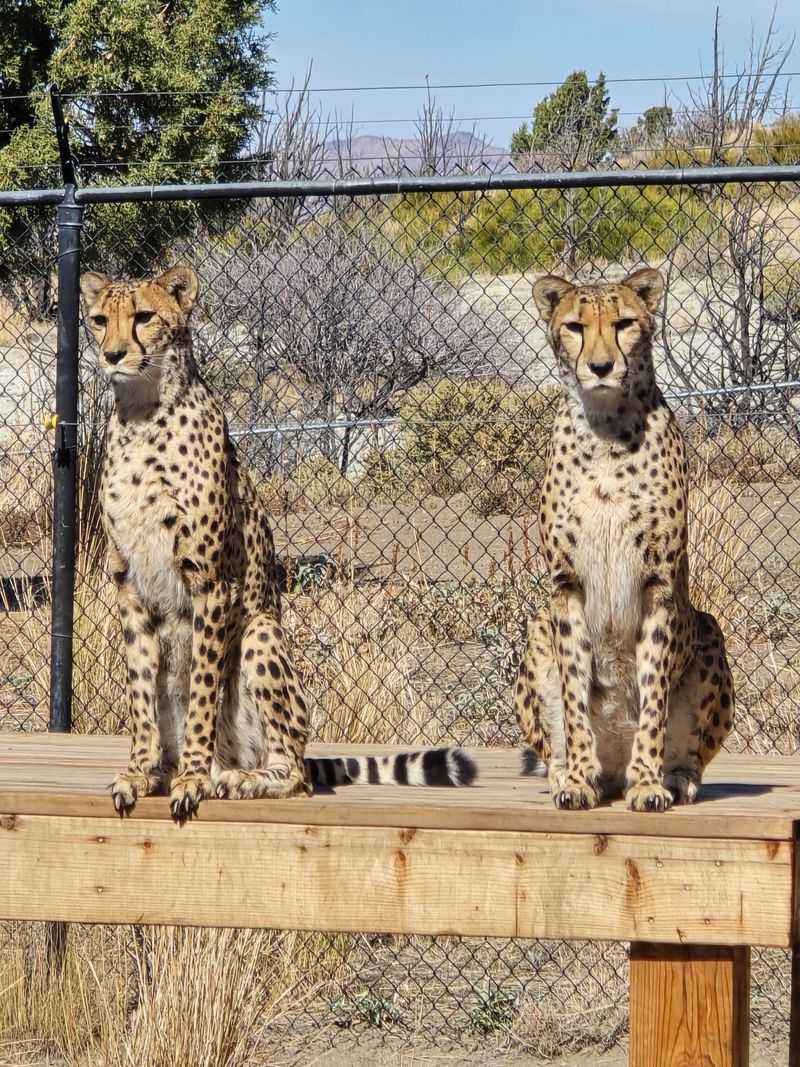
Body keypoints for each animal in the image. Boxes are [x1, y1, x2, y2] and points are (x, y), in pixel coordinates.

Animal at [80, 264, 477, 822]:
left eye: (144, 316)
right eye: (99, 319)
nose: (113, 355)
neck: (142, 414)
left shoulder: (212, 583)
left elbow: (202, 695)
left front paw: (192, 780)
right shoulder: (129, 584)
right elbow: (141, 699)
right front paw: (138, 771)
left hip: (261, 632)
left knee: (294, 774)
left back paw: (234, 778)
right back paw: (168, 769)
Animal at [512, 267, 734, 812]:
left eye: (625, 323)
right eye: (574, 326)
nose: (600, 366)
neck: (607, 429)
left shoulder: (658, 585)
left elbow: (653, 698)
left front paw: (649, 781)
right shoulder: (566, 587)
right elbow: (574, 694)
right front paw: (577, 777)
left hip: (709, 629)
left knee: (692, 753)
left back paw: (674, 778)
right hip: (536, 628)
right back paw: (569, 772)